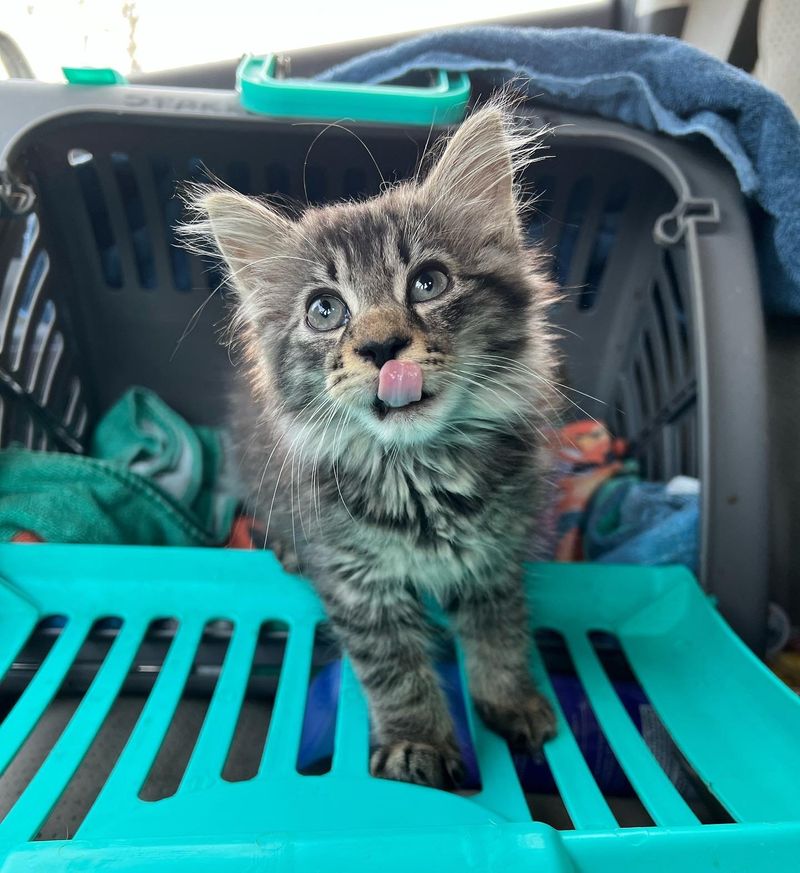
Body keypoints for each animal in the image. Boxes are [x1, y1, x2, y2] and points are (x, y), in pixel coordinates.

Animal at [183, 104, 556, 792]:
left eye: (429, 282)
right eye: (325, 310)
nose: (382, 348)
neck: (422, 475)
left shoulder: (495, 558)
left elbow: (500, 632)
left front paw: (510, 698)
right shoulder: (359, 585)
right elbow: (395, 670)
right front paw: (417, 744)